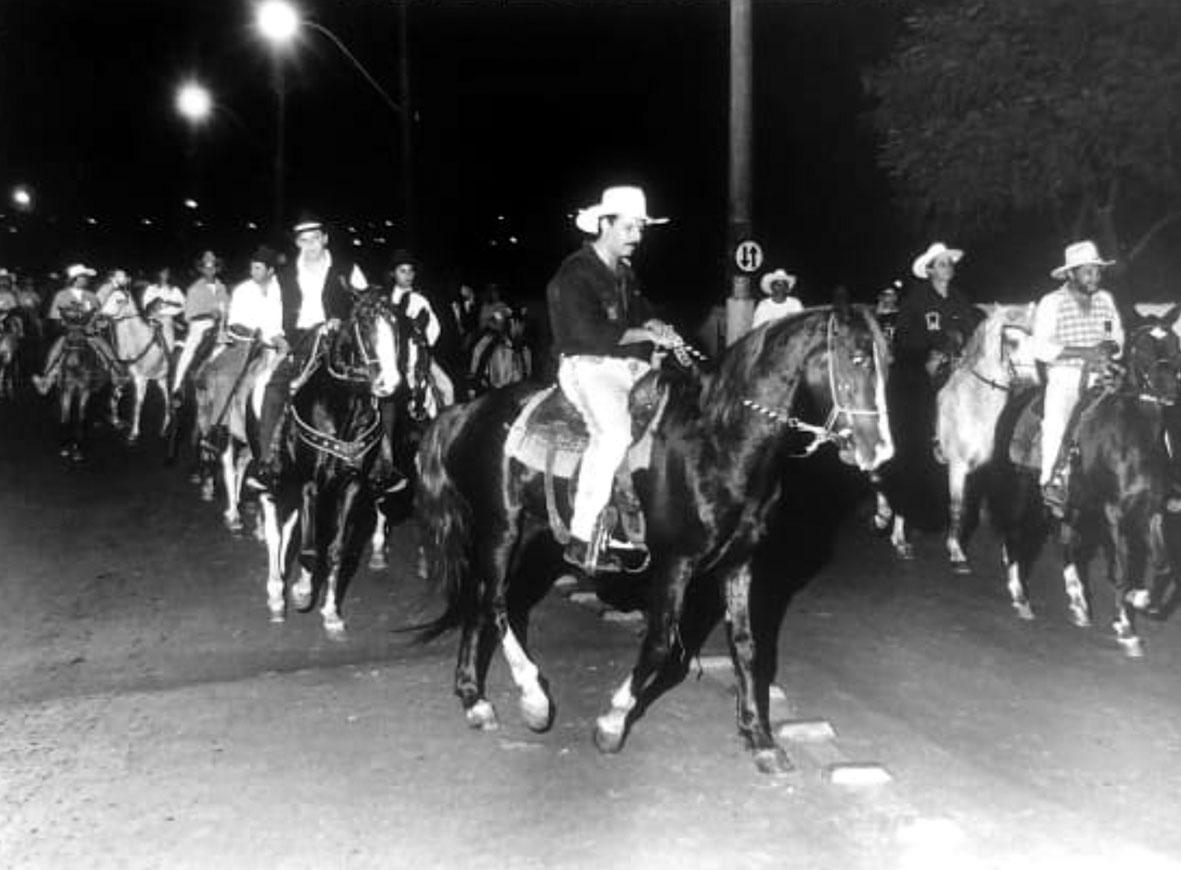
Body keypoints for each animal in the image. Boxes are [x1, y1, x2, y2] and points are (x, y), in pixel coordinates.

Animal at [258, 295, 406, 632]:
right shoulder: (310, 483)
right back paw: (276, 596)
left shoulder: (351, 484)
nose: (389, 383)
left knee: (289, 530)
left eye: (396, 325)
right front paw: (302, 592)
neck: (341, 405)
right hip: (273, 483)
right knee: (274, 533)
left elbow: (336, 551)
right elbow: (310, 551)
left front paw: (331, 613)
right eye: (364, 323)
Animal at [415, 302, 892, 769]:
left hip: (523, 531)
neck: (716, 444)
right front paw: (611, 723)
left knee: (480, 601)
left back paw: (473, 699)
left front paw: (760, 737)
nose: (880, 451)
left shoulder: (739, 562)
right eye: (857, 359)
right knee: (496, 603)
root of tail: (467, 411)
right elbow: (661, 643)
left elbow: (747, 646)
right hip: (501, 528)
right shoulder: (675, 563)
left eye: (887, 361)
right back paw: (533, 700)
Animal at [987, 309, 1181, 656]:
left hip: (1072, 504)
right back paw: (1021, 598)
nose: (1169, 389)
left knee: (1066, 542)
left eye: (1174, 343)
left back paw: (1078, 602)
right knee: (1014, 536)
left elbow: (1163, 567)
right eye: (1142, 348)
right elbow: (1122, 568)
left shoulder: (1152, 511)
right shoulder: (1114, 513)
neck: (1132, 438)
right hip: (1022, 492)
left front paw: (1142, 600)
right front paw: (1127, 629)